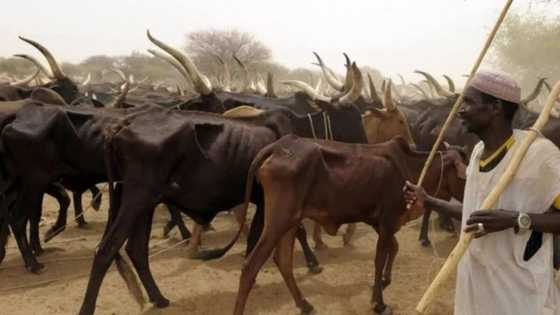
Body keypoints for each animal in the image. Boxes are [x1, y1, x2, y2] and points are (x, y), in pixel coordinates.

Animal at [228, 136, 464, 315]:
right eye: (463, 176)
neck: (409, 166)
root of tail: (279, 145)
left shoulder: (379, 222)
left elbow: (393, 248)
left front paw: (383, 281)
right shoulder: (387, 220)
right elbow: (380, 258)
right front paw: (379, 303)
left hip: (290, 222)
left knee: (283, 261)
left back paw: (304, 304)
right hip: (278, 221)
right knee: (250, 266)